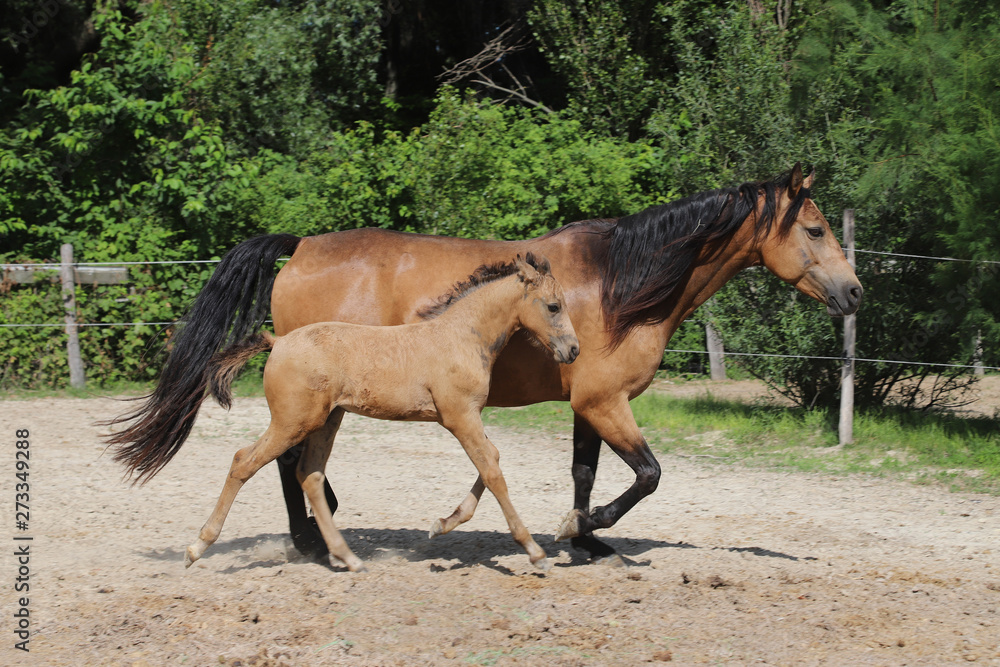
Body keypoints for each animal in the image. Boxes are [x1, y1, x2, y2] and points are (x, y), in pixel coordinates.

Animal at [168, 254, 577, 572]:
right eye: (553, 306)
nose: (573, 350)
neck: (460, 337)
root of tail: (277, 341)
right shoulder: (460, 416)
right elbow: (492, 470)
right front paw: (535, 552)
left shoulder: (467, 416)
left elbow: (490, 460)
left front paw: (440, 524)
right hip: (293, 421)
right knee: (244, 461)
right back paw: (196, 548)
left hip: (326, 421)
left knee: (309, 475)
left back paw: (348, 558)